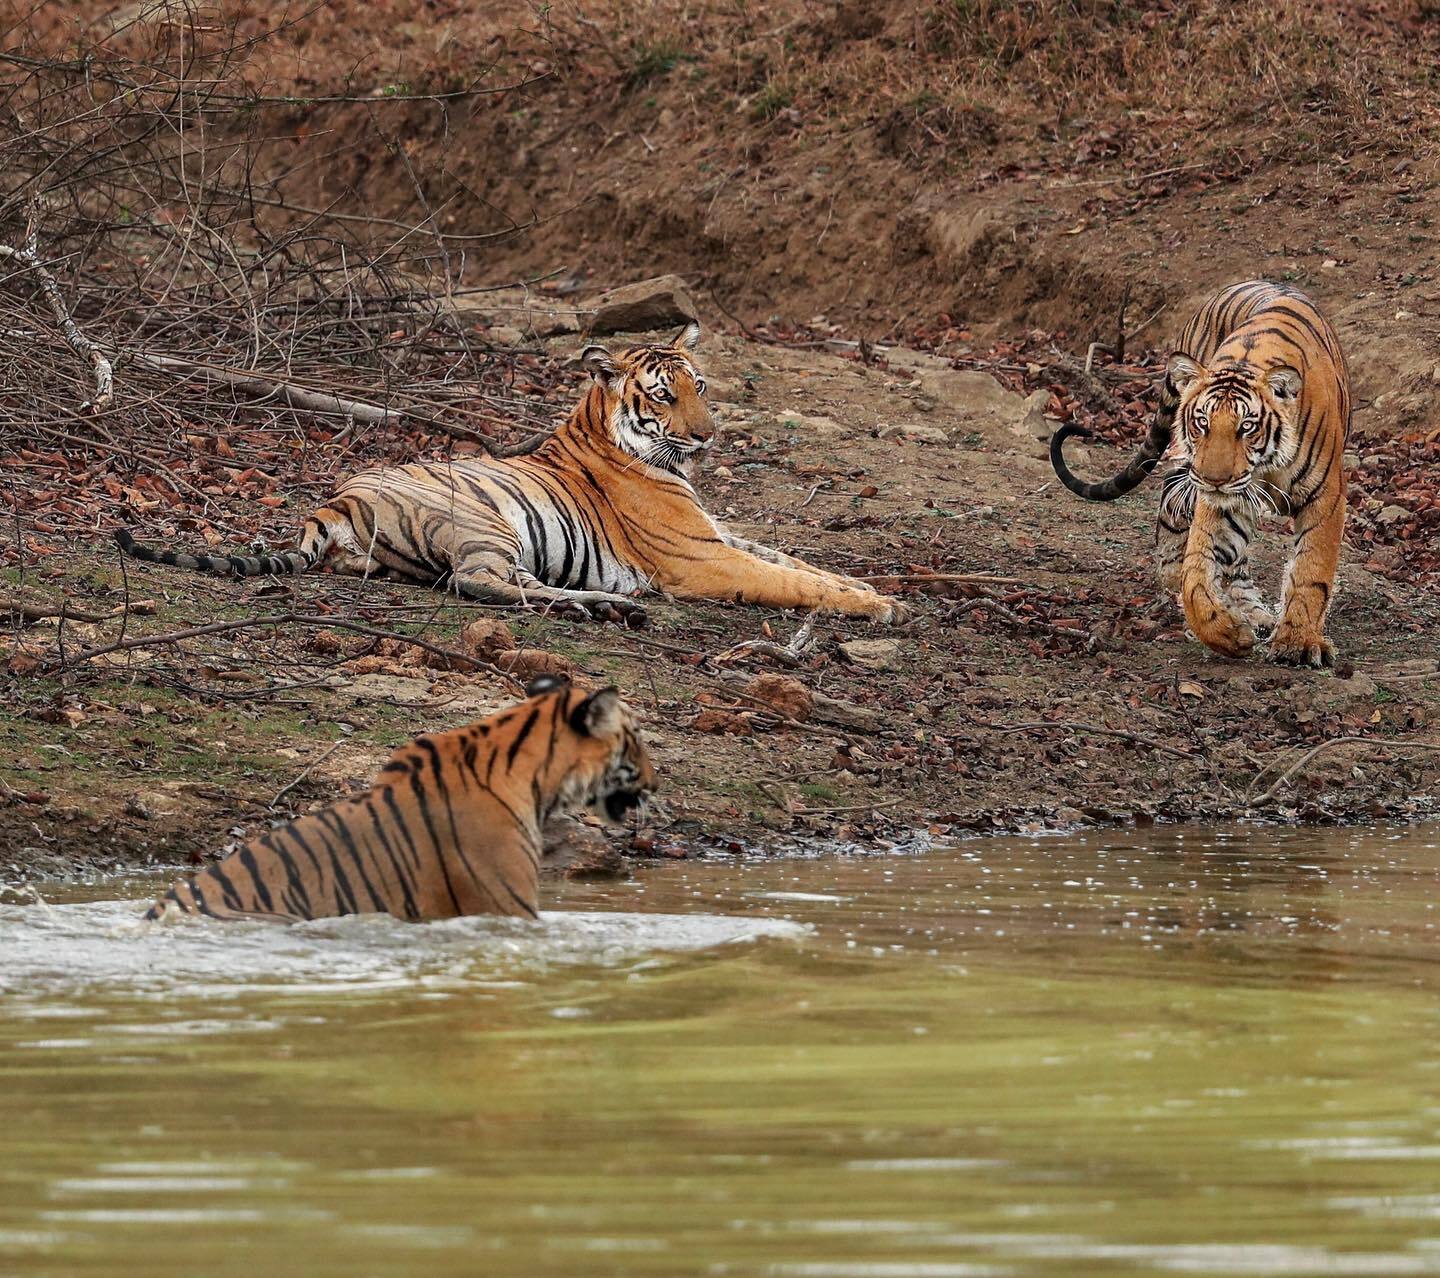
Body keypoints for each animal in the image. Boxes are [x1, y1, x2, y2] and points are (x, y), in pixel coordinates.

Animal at [115, 322, 898, 627]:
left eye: (699, 385)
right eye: (663, 396)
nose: (708, 437)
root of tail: (330, 503)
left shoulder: (720, 534)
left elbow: (798, 560)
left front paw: (872, 590)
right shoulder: (699, 556)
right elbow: (789, 580)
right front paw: (882, 606)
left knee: (517, 583)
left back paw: (605, 604)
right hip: (480, 521)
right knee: (481, 583)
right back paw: (603, 606)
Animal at [1048, 279, 1347, 667]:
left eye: (1247, 426)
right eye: (1203, 422)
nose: (1214, 479)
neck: (1265, 465)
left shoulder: (1325, 496)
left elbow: (1312, 571)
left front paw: (1298, 641)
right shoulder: (1223, 501)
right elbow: (1196, 576)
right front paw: (1225, 633)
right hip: (1190, 471)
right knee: (1172, 492)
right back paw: (1179, 576)